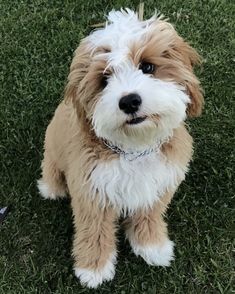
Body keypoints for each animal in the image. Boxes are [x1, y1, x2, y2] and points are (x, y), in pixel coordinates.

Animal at [37, 8, 203, 288]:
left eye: (147, 66)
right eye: (104, 80)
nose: (129, 101)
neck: (134, 147)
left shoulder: (158, 186)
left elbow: (150, 215)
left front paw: (152, 246)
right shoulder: (92, 192)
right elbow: (94, 230)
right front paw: (93, 268)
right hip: (52, 151)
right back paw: (50, 188)